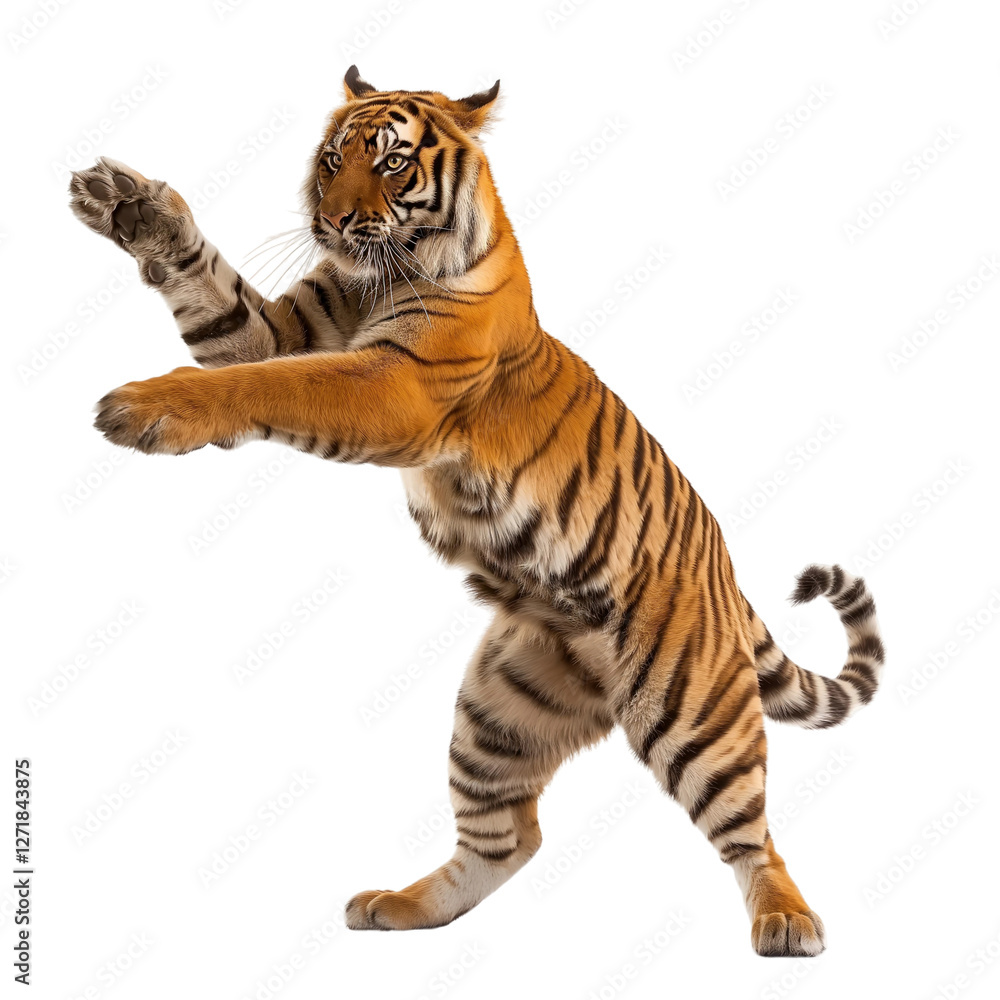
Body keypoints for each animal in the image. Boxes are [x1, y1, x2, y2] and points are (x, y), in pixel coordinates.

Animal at [68, 65, 884, 956]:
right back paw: (399, 907)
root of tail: (724, 571)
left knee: (752, 830)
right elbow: (226, 316)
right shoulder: (288, 330)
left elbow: (267, 385)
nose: (334, 221)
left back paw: (786, 921)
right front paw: (131, 206)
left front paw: (147, 407)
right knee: (508, 837)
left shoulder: (395, 385)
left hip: (693, 710)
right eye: (331, 159)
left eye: (391, 163)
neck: (380, 271)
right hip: (502, 707)